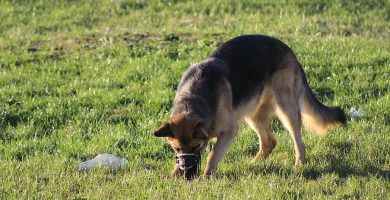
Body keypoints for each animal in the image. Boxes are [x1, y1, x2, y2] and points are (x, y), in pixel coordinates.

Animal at [154, 34, 346, 177]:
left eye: (196, 146)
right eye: (176, 148)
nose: (186, 170)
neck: (194, 98)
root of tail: (289, 50)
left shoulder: (228, 131)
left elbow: (212, 155)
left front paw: (206, 176)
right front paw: (174, 174)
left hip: (286, 109)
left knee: (297, 139)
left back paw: (300, 163)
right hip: (253, 114)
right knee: (269, 142)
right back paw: (254, 163)